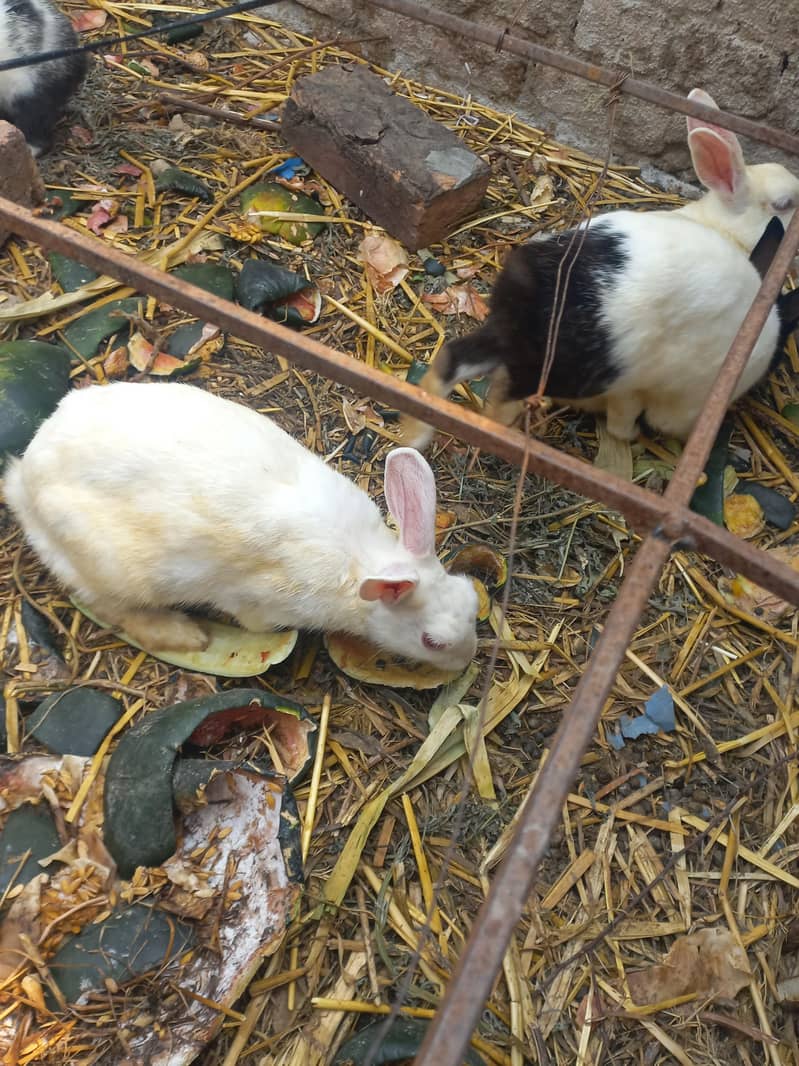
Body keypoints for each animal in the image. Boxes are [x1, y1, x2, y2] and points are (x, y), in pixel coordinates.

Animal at [3, 381, 479, 671]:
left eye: (473, 599)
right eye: (433, 641)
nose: (466, 662)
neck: (360, 565)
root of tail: (25, 479)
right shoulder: (260, 606)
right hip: (112, 568)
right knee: (108, 606)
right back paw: (187, 635)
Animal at [399, 88, 799, 448]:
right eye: (784, 203)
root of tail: (535, 295)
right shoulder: (665, 397)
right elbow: (628, 424)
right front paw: (636, 440)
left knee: (453, 360)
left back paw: (415, 434)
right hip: (568, 369)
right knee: (499, 404)